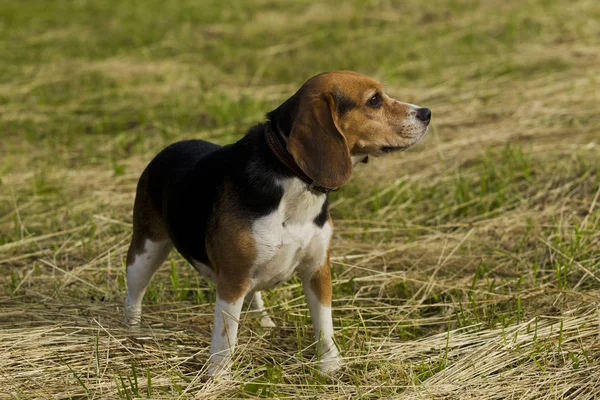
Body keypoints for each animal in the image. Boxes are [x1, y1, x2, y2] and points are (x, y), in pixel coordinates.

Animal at [124, 71, 428, 376]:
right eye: (374, 100)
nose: (427, 113)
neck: (295, 182)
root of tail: (169, 148)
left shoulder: (318, 269)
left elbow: (324, 325)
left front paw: (330, 365)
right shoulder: (232, 281)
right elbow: (224, 338)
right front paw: (218, 376)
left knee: (254, 295)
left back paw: (264, 321)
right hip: (145, 252)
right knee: (134, 296)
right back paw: (131, 333)